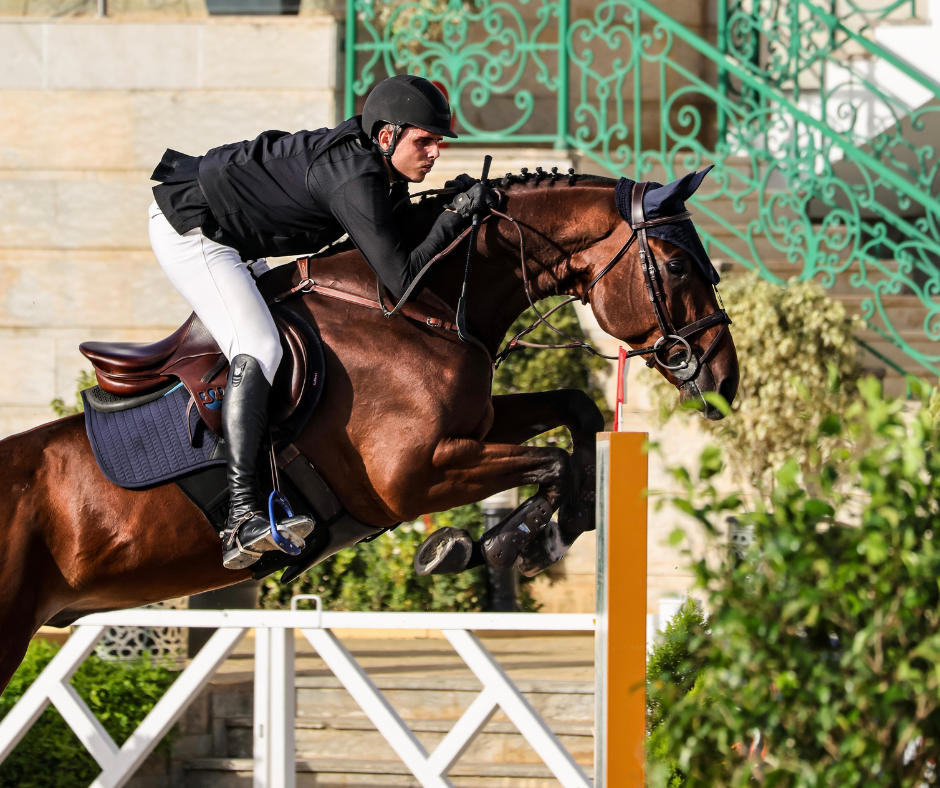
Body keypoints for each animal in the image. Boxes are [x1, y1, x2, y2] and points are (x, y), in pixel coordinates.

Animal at [0, 173, 738, 692]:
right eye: (677, 266)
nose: (726, 381)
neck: (411, 303)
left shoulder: (475, 427)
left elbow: (576, 414)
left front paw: (548, 529)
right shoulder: (413, 476)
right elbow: (551, 457)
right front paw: (499, 544)